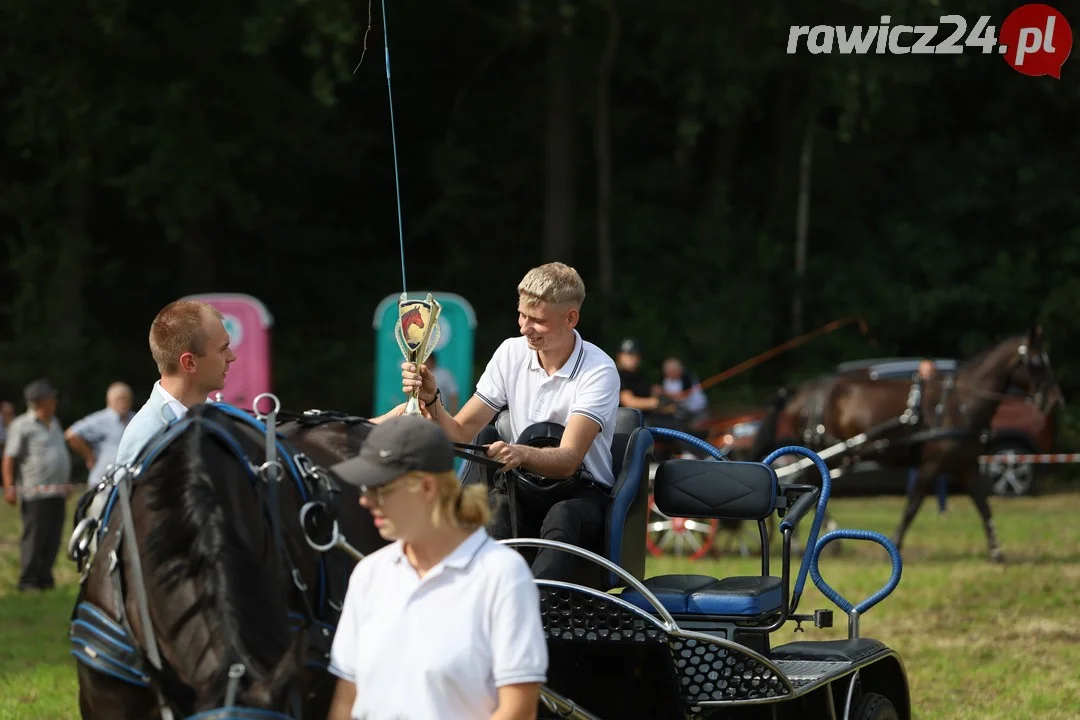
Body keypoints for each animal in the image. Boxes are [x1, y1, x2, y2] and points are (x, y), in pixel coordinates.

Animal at [747, 325, 1058, 561]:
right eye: (1037, 362)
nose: (1056, 400)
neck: (958, 404)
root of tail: (803, 390)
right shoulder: (930, 465)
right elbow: (912, 505)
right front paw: (894, 543)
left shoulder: (966, 465)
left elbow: (983, 505)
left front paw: (996, 550)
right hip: (822, 447)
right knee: (803, 480)